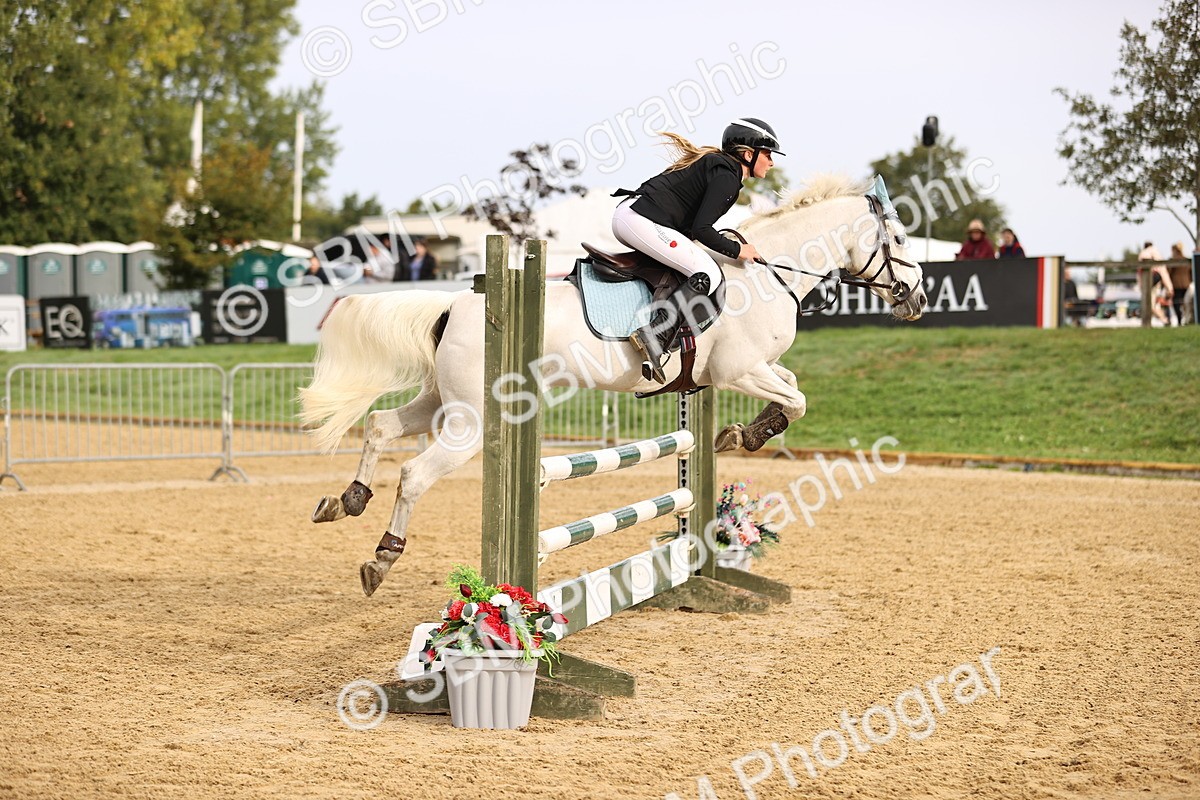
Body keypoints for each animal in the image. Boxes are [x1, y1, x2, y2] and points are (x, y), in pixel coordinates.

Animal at [299, 175, 928, 596]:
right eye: (899, 240)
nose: (919, 298)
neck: (765, 273)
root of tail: (459, 303)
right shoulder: (740, 370)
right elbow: (796, 398)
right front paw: (742, 436)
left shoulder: (749, 370)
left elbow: (792, 390)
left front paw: (738, 434)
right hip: (473, 424)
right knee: (414, 474)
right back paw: (382, 559)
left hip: (444, 403)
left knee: (381, 425)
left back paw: (345, 500)